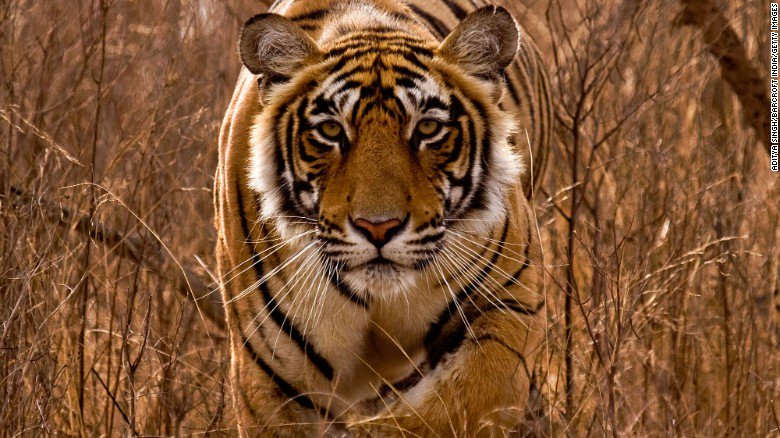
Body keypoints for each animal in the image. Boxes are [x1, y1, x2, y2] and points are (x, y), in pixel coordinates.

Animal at [214, 0, 552, 435]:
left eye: (428, 128)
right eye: (330, 130)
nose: (379, 228)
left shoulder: (512, 302)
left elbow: (452, 405)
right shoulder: (269, 373)